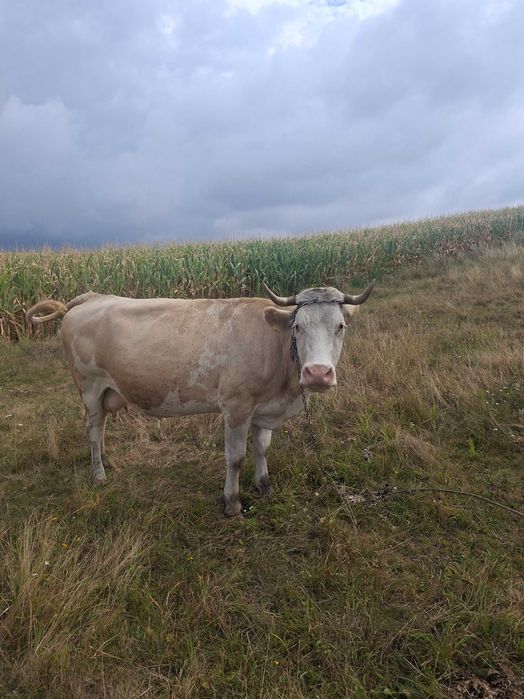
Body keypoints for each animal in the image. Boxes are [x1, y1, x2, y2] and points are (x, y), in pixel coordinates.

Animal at [26, 281, 374, 515]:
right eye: (298, 327)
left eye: (340, 326)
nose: (318, 373)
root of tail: (92, 297)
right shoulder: (236, 406)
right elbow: (236, 458)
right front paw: (231, 502)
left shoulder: (265, 407)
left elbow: (262, 448)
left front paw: (264, 486)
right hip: (90, 387)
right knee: (93, 430)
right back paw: (98, 474)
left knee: (100, 430)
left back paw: (106, 461)